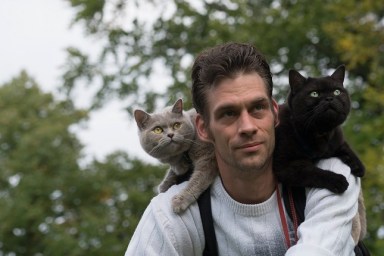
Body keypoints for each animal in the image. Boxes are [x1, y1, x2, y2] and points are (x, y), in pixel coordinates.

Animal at [274, 65, 364, 193]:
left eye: (337, 92)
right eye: (314, 94)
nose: (329, 98)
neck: (321, 132)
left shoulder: (336, 141)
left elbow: (346, 148)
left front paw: (359, 167)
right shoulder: (285, 165)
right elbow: (312, 172)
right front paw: (338, 180)